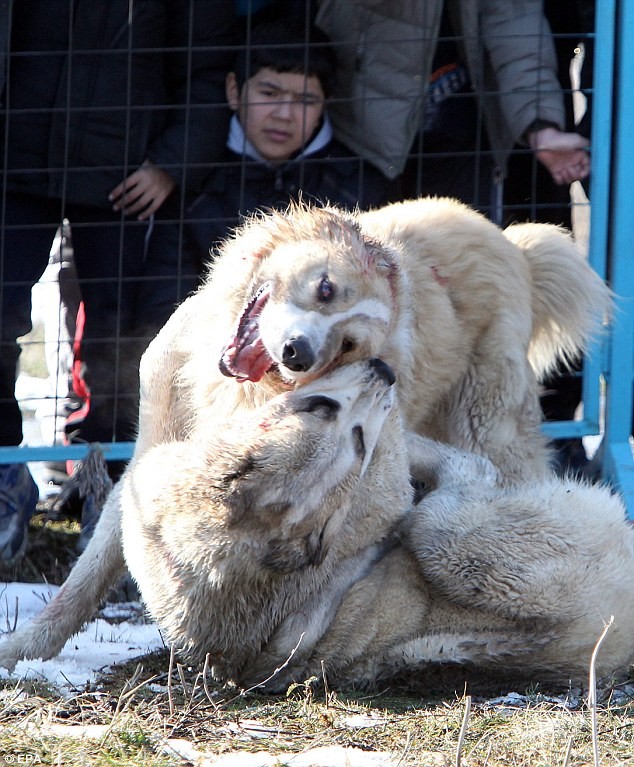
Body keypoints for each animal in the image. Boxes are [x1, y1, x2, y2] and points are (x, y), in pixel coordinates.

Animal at [1, 198, 612, 672]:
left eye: (348, 344)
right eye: (324, 288)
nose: (299, 352)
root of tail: (516, 247)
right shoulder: (153, 448)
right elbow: (85, 578)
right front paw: (25, 649)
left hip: (489, 423)